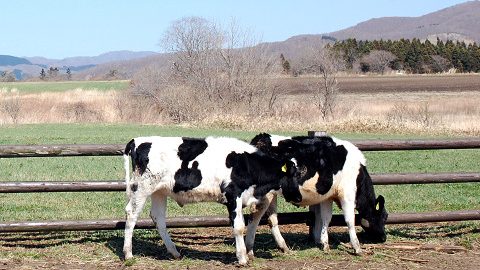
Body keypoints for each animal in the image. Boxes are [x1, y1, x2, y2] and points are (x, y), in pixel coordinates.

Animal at [122, 136, 298, 264]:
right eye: (297, 174)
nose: (297, 197)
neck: (246, 164)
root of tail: (137, 140)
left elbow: (243, 224)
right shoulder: (232, 195)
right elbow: (238, 227)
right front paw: (242, 258)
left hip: (159, 191)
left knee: (158, 217)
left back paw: (174, 252)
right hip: (142, 187)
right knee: (131, 213)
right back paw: (128, 254)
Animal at [249, 134, 388, 254]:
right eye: (384, 217)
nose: (383, 238)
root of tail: (261, 138)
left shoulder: (328, 197)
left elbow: (326, 218)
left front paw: (325, 244)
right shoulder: (347, 194)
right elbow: (350, 220)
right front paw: (357, 247)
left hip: (272, 195)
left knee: (272, 219)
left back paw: (284, 247)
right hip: (265, 195)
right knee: (255, 216)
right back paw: (250, 250)